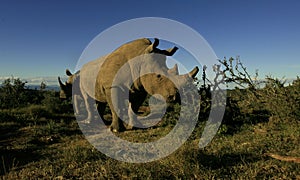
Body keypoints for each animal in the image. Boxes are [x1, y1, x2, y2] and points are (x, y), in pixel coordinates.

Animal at [58, 38, 199, 131]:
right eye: (158, 76)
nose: (175, 97)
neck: (140, 56)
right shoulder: (112, 86)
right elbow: (116, 107)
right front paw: (115, 130)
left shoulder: (139, 88)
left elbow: (134, 107)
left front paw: (134, 126)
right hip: (82, 80)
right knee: (87, 98)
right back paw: (90, 122)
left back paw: (101, 122)